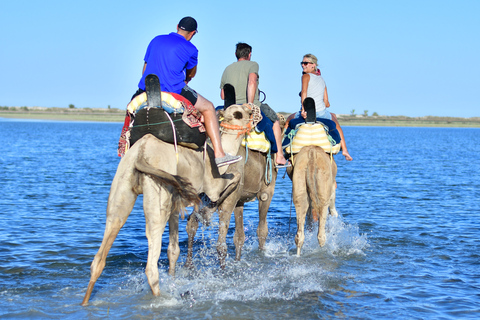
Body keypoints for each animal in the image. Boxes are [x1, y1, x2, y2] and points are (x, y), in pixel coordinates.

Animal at [82, 104, 255, 306]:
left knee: (101, 252)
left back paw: (85, 302)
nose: (252, 109)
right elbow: (233, 179)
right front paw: (208, 211)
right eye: (239, 113)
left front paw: (173, 279)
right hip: (157, 193)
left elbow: (173, 250)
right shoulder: (213, 184)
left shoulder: (174, 202)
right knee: (151, 265)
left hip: (122, 187)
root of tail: (141, 153)